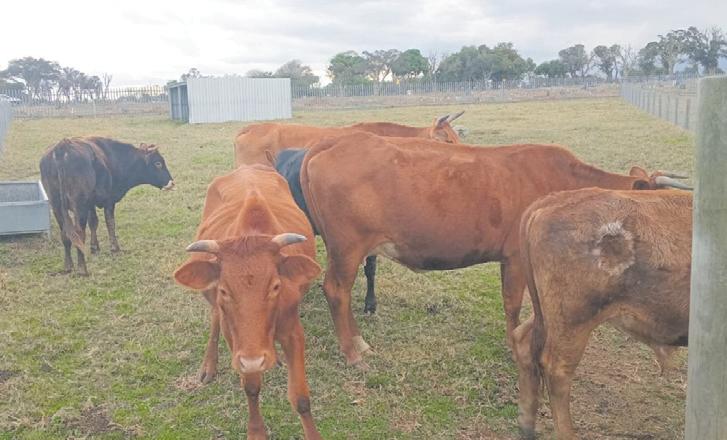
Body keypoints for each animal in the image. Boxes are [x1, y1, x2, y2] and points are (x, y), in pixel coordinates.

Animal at [39, 137, 175, 275]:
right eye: (158, 163)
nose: (172, 182)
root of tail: (62, 146)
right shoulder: (109, 201)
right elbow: (110, 223)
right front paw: (115, 248)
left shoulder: (90, 204)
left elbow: (93, 222)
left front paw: (95, 247)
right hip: (79, 206)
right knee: (79, 233)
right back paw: (82, 269)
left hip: (56, 205)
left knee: (65, 234)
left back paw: (68, 266)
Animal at [173, 165, 322, 440]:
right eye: (224, 290)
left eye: (276, 286)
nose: (256, 360)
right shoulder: (236, 342)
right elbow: (251, 386)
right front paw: (256, 430)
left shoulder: (293, 331)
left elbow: (301, 398)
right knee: (215, 318)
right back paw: (209, 365)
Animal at [300, 132, 691, 366]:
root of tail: (338, 141)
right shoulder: (516, 257)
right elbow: (513, 303)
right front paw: (516, 346)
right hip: (348, 246)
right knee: (335, 290)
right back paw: (352, 351)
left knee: (341, 293)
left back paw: (357, 341)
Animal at [513, 188, 691, 440]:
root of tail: (550, 202)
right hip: (573, 323)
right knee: (557, 370)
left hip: (547, 316)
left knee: (523, 340)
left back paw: (526, 425)